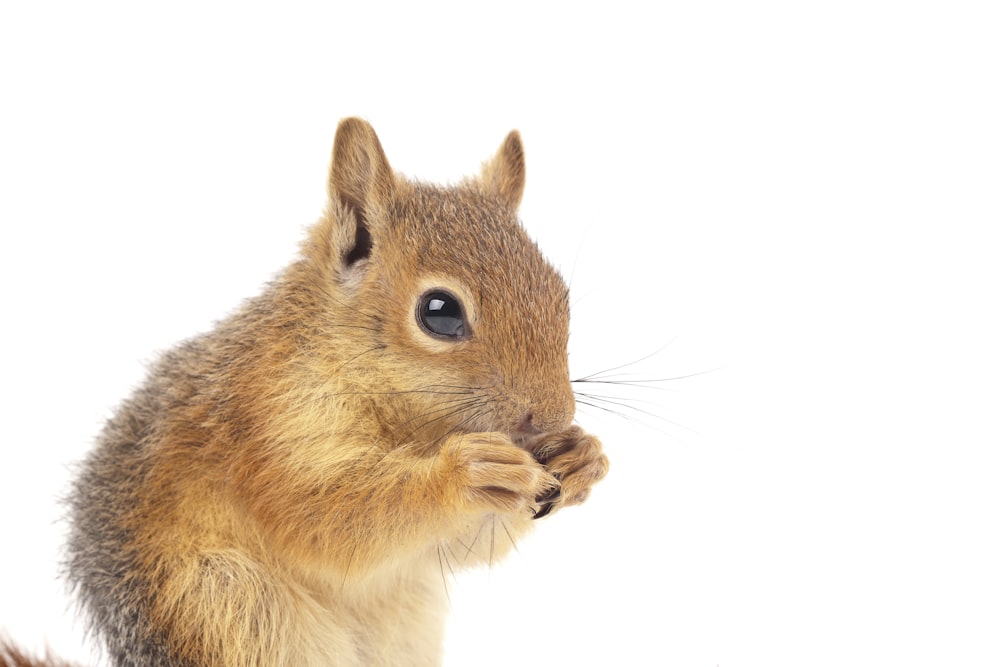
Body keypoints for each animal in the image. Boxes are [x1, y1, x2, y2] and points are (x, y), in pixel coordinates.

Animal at [5, 117, 608, 664]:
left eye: (560, 295)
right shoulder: (268, 428)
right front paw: (466, 473)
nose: (553, 416)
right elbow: (325, 515)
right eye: (439, 312)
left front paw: (583, 456)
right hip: (230, 610)